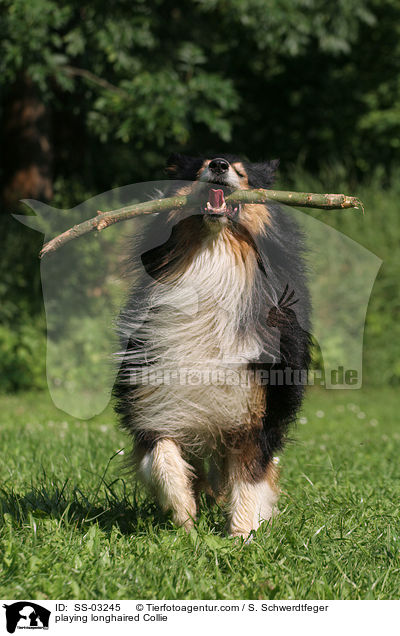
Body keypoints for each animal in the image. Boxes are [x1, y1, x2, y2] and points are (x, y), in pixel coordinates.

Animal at [114, 154, 310, 536]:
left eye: (243, 172)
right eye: (200, 166)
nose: (219, 164)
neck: (213, 256)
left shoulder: (256, 412)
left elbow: (249, 479)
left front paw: (242, 536)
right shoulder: (154, 395)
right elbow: (161, 454)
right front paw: (184, 514)